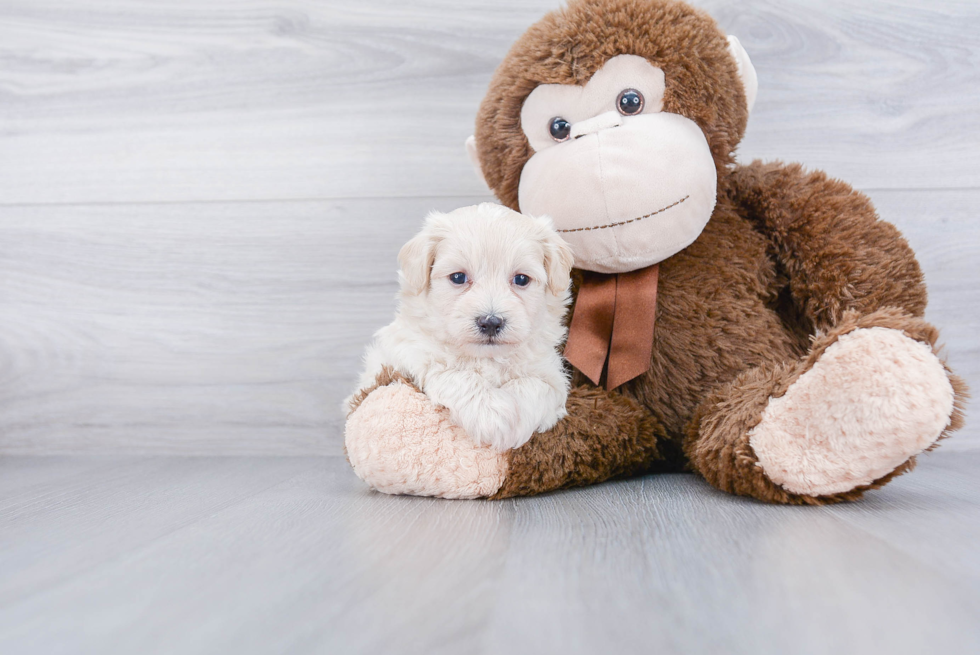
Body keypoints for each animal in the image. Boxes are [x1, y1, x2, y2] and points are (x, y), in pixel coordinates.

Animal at [348, 204, 576, 452]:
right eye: (458, 277)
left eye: (522, 279)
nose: (491, 322)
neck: (486, 358)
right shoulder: (410, 353)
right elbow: (453, 374)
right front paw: (492, 415)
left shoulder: (550, 373)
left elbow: (535, 385)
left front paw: (513, 423)